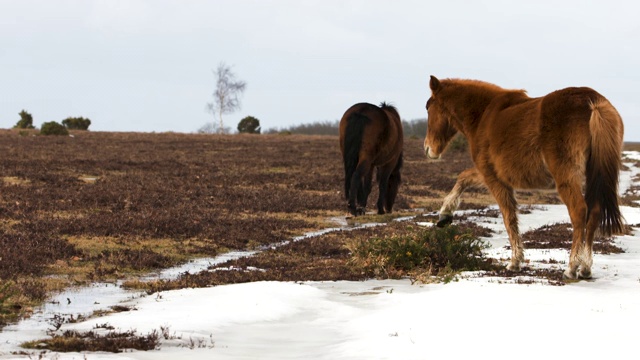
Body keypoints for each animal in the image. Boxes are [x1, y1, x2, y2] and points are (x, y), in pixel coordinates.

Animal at [422, 75, 624, 278]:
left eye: (428, 106)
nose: (428, 148)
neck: (484, 115)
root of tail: (593, 103)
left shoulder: (493, 178)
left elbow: (509, 217)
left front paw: (515, 262)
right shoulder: (490, 173)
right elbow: (463, 178)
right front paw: (445, 214)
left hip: (566, 177)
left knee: (579, 211)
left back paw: (572, 267)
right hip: (592, 174)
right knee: (595, 212)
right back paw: (586, 267)